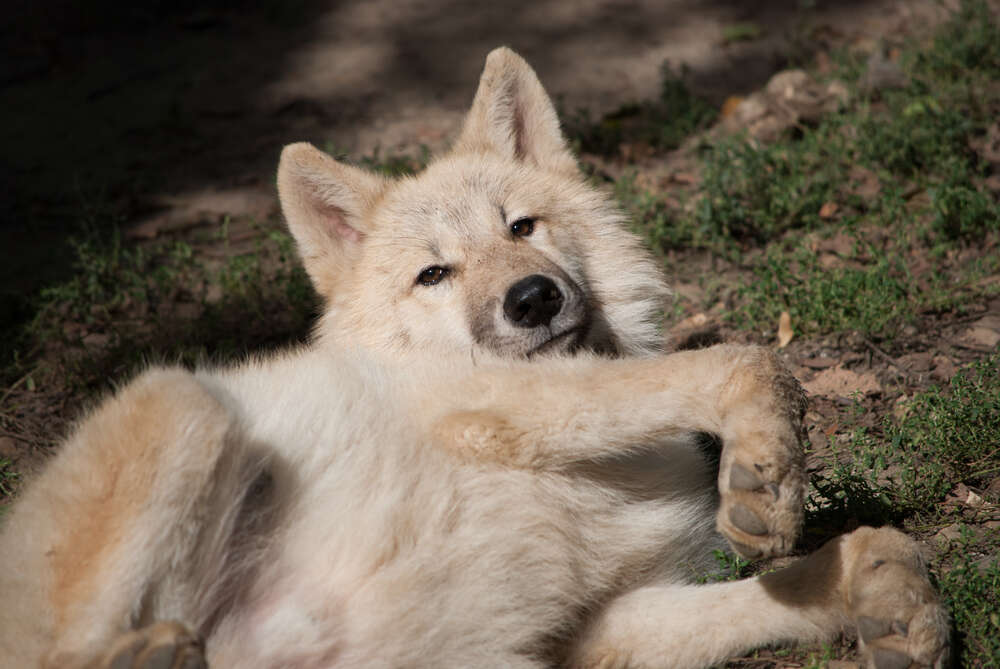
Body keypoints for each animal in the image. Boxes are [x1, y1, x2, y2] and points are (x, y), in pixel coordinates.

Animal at [0, 48, 948, 668]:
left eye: (520, 226)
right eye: (434, 273)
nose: (532, 299)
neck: (610, 475)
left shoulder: (594, 629)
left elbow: (767, 593)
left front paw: (876, 589)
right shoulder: (488, 404)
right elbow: (733, 362)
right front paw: (768, 469)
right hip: (182, 402)